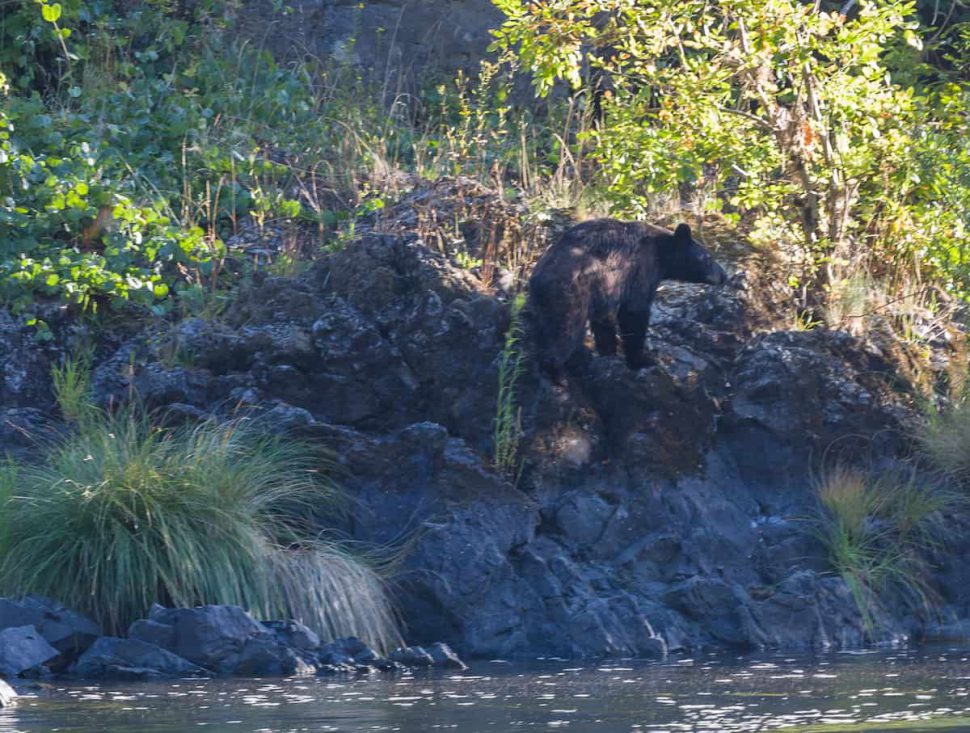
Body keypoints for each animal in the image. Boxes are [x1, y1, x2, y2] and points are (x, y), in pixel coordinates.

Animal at [528, 219, 728, 382]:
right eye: (709, 258)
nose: (724, 275)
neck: (661, 253)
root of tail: (536, 278)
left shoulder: (605, 289)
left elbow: (604, 319)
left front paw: (608, 351)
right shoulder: (640, 269)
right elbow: (634, 311)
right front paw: (642, 359)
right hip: (570, 295)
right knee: (564, 332)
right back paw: (557, 372)